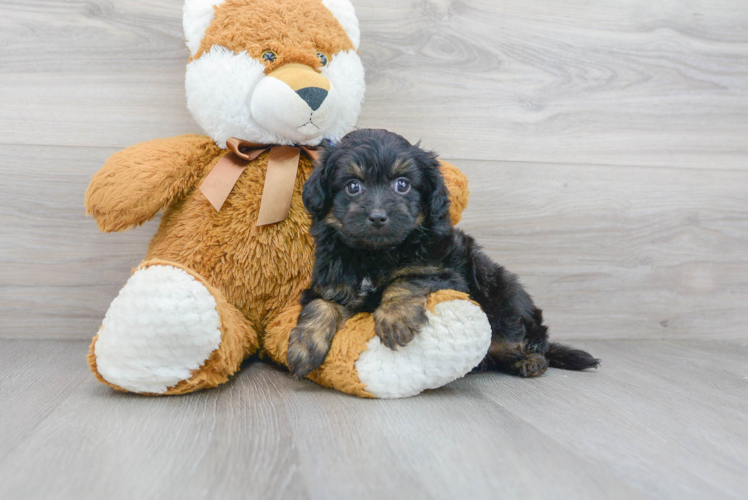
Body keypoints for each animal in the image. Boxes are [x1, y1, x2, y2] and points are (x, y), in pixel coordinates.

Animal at [284, 129, 596, 378]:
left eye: (402, 184)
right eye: (353, 186)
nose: (378, 216)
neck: (376, 254)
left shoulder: (443, 272)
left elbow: (406, 279)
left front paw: (395, 318)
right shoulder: (330, 281)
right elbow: (320, 305)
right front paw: (303, 346)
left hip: (504, 303)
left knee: (519, 341)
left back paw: (531, 361)